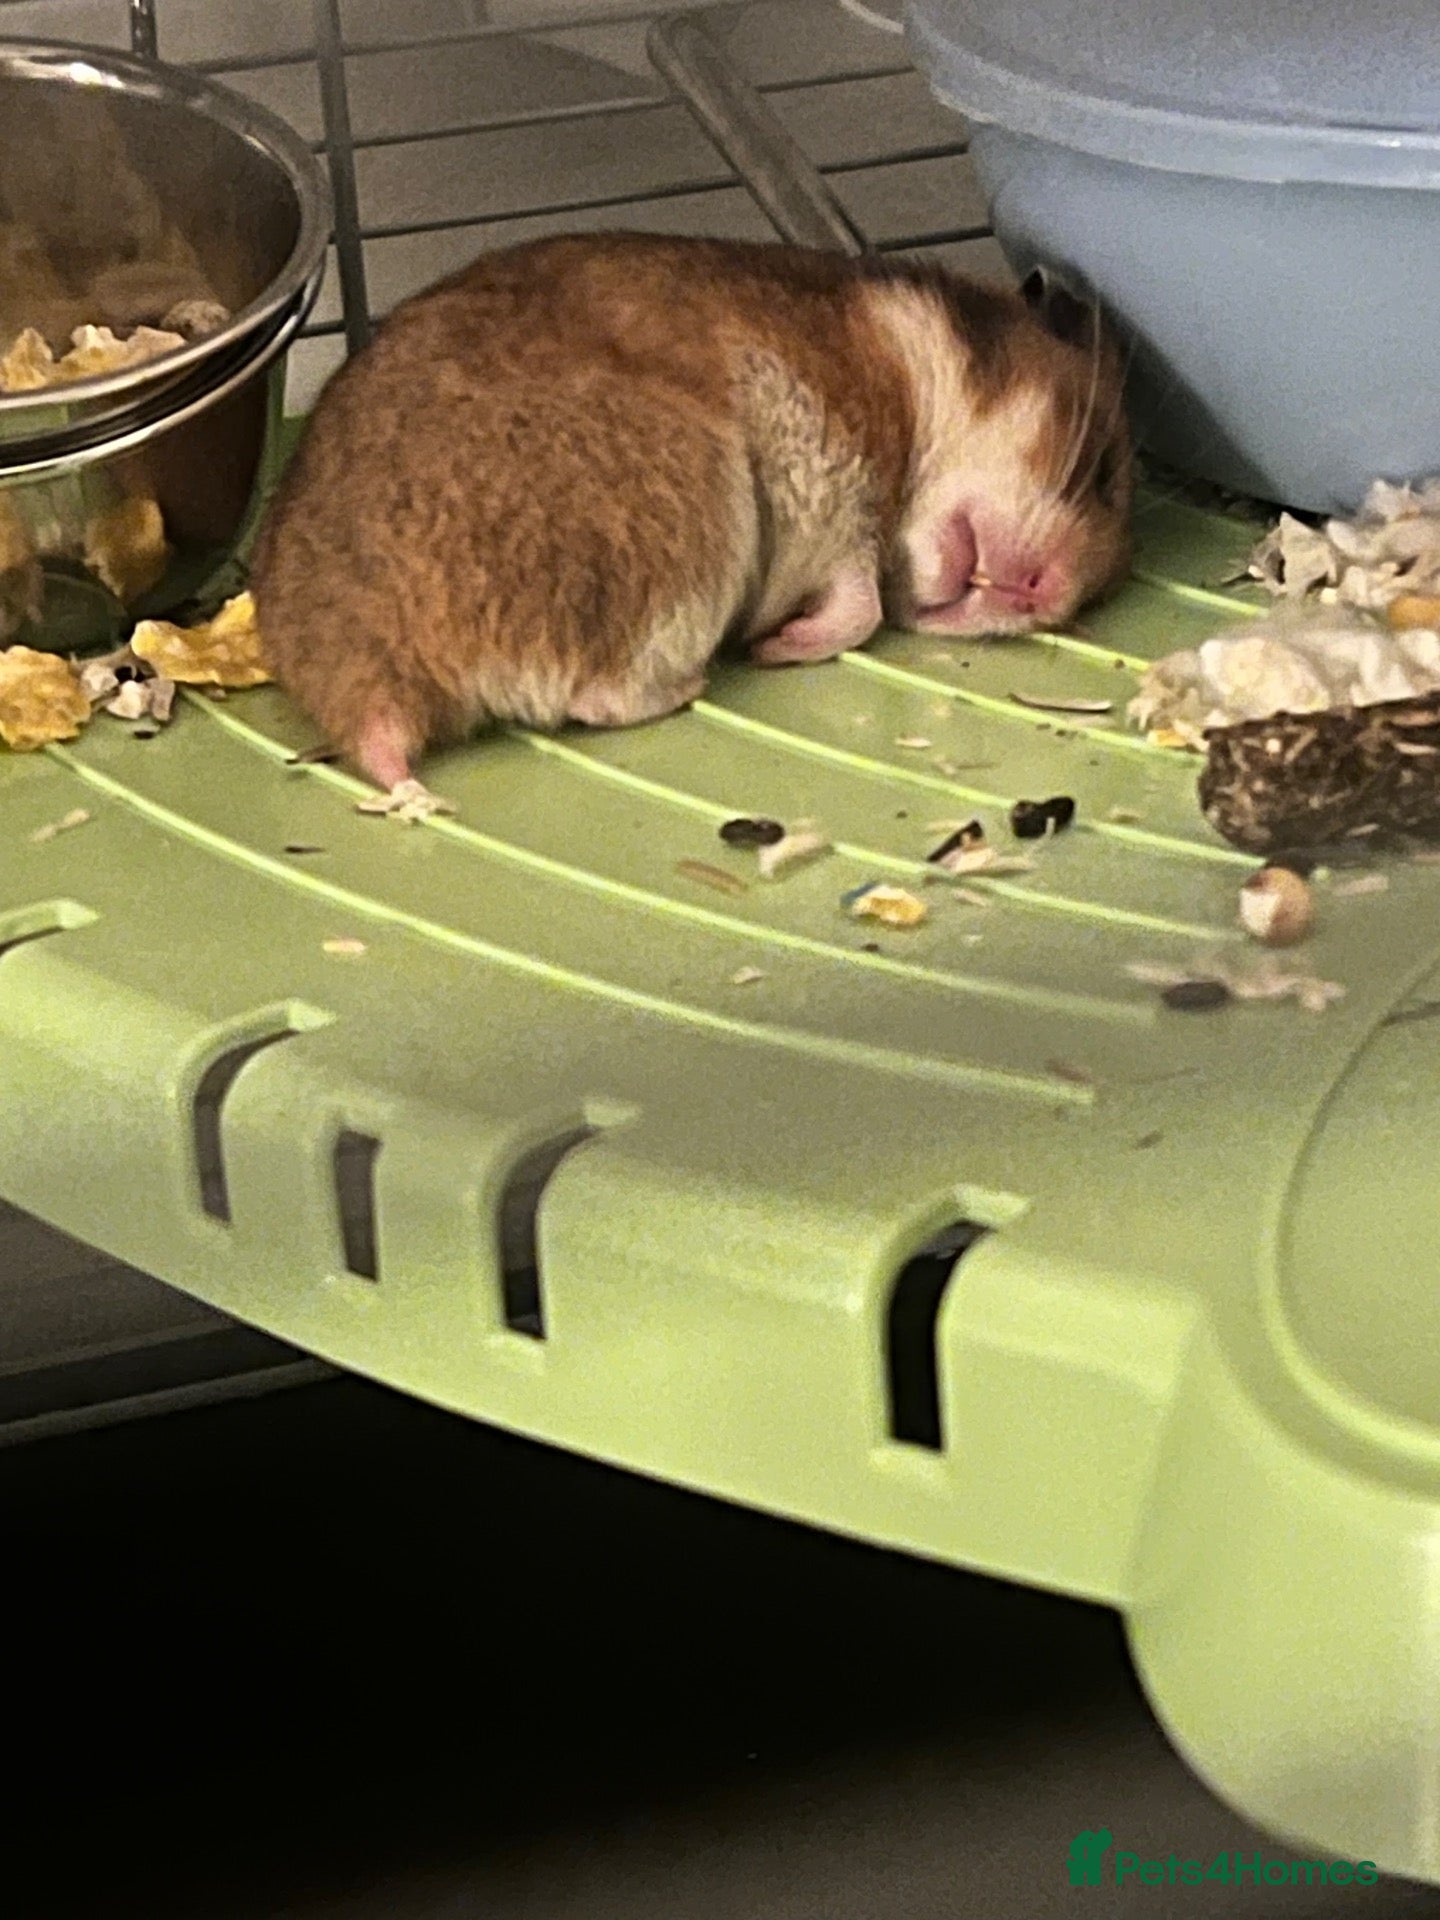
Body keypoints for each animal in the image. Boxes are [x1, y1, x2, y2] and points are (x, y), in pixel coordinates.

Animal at [251, 233, 1132, 797]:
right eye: (1105, 471)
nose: (1044, 596)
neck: (918, 386)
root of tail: (375, 689)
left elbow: (858, 605)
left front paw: (781, 641)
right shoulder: (836, 477)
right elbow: (859, 607)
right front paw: (777, 648)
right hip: (694, 527)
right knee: (598, 696)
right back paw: (702, 678)